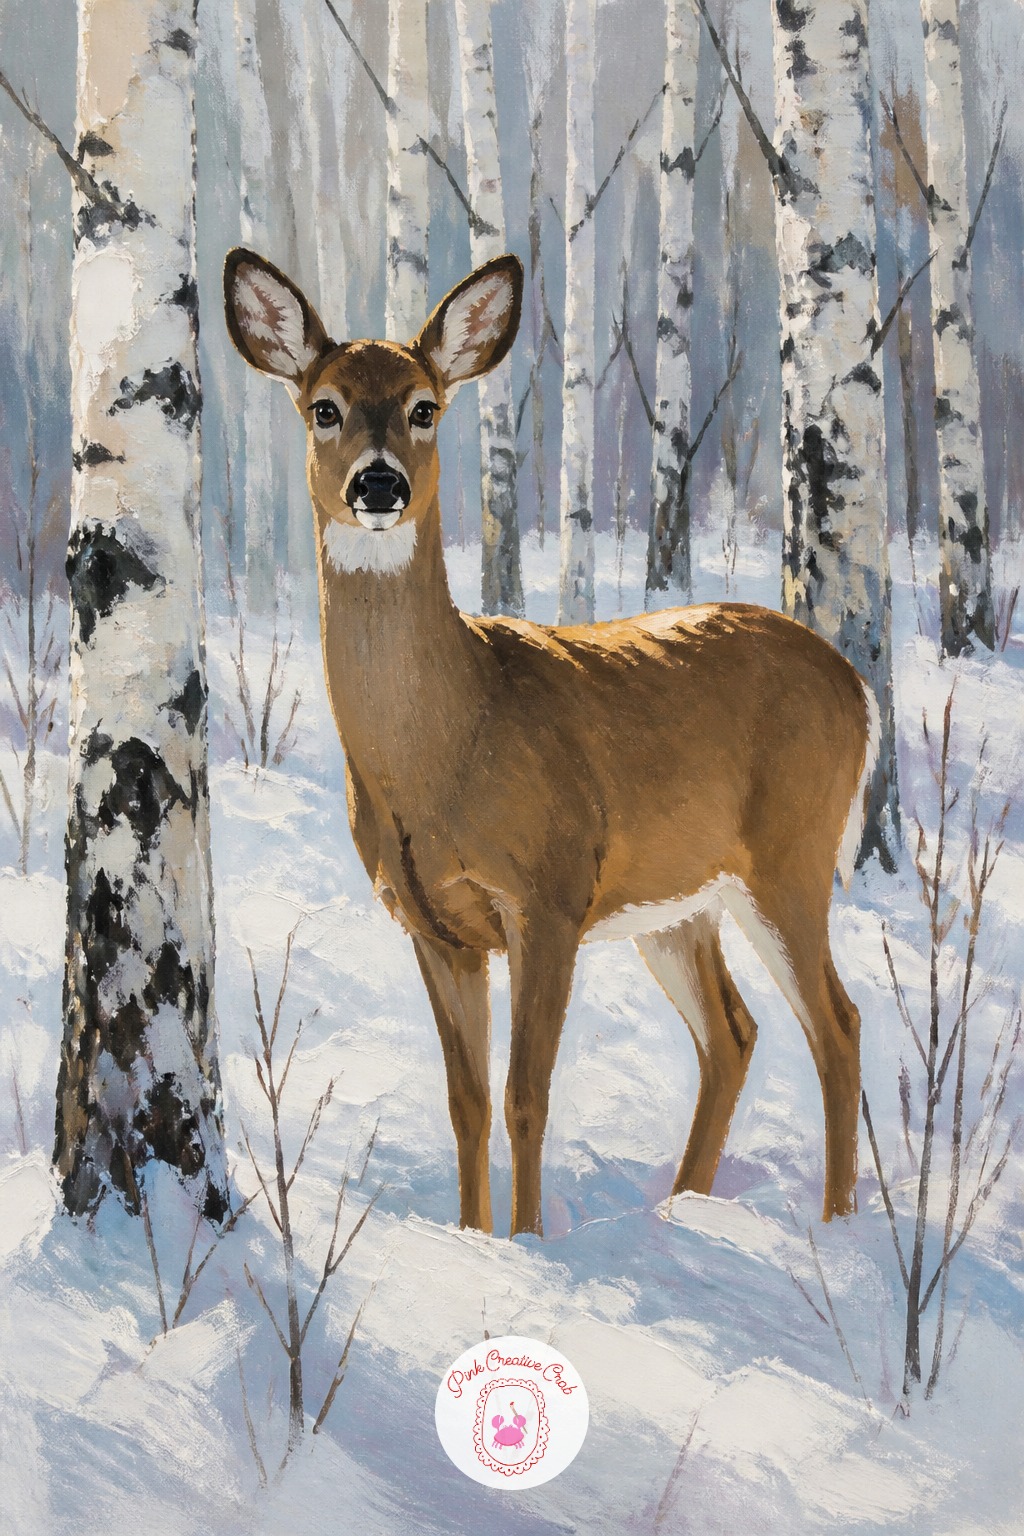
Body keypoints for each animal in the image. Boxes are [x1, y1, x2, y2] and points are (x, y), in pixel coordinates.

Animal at [224, 248, 878, 1238]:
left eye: (425, 406)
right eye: (323, 406)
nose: (378, 484)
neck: (444, 750)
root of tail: (858, 689)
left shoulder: (550, 890)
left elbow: (527, 1094)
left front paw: (529, 1243)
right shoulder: (435, 925)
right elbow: (466, 1101)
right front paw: (472, 1238)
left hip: (790, 854)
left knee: (835, 1025)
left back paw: (836, 1226)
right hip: (678, 899)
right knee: (734, 1034)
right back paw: (682, 1211)